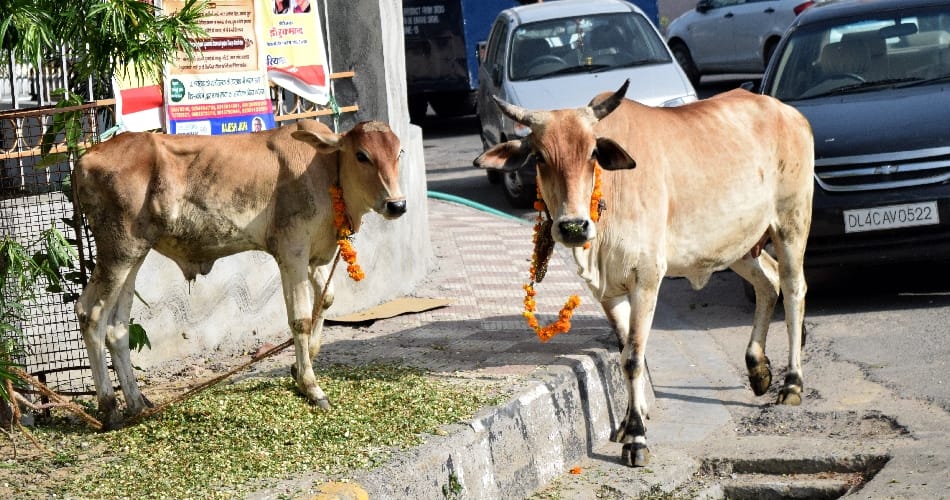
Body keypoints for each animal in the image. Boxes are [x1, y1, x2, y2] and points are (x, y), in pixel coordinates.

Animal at [73, 120, 406, 429]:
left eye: (398, 152)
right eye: (362, 155)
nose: (397, 204)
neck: (325, 168)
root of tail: (86, 158)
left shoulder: (314, 256)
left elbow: (326, 300)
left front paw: (299, 369)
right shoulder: (292, 252)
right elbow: (300, 319)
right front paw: (311, 387)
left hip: (135, 254)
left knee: (117, 327)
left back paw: (137, 404)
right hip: (119, 250)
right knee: (91, 313)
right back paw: (110, 409)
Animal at [474, 81, 814, 467]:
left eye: (592, 154)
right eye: (540, 157)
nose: (573, 227)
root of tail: (787, 112)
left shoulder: (646, 279)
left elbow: (634, 358)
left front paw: (636, 437)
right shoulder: (607, 292)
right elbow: (624, 352)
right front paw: (625, 425)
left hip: (791, 224)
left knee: (793, 289)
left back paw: (792, 382)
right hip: (738, 244)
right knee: (768, 285)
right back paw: (758, 370)